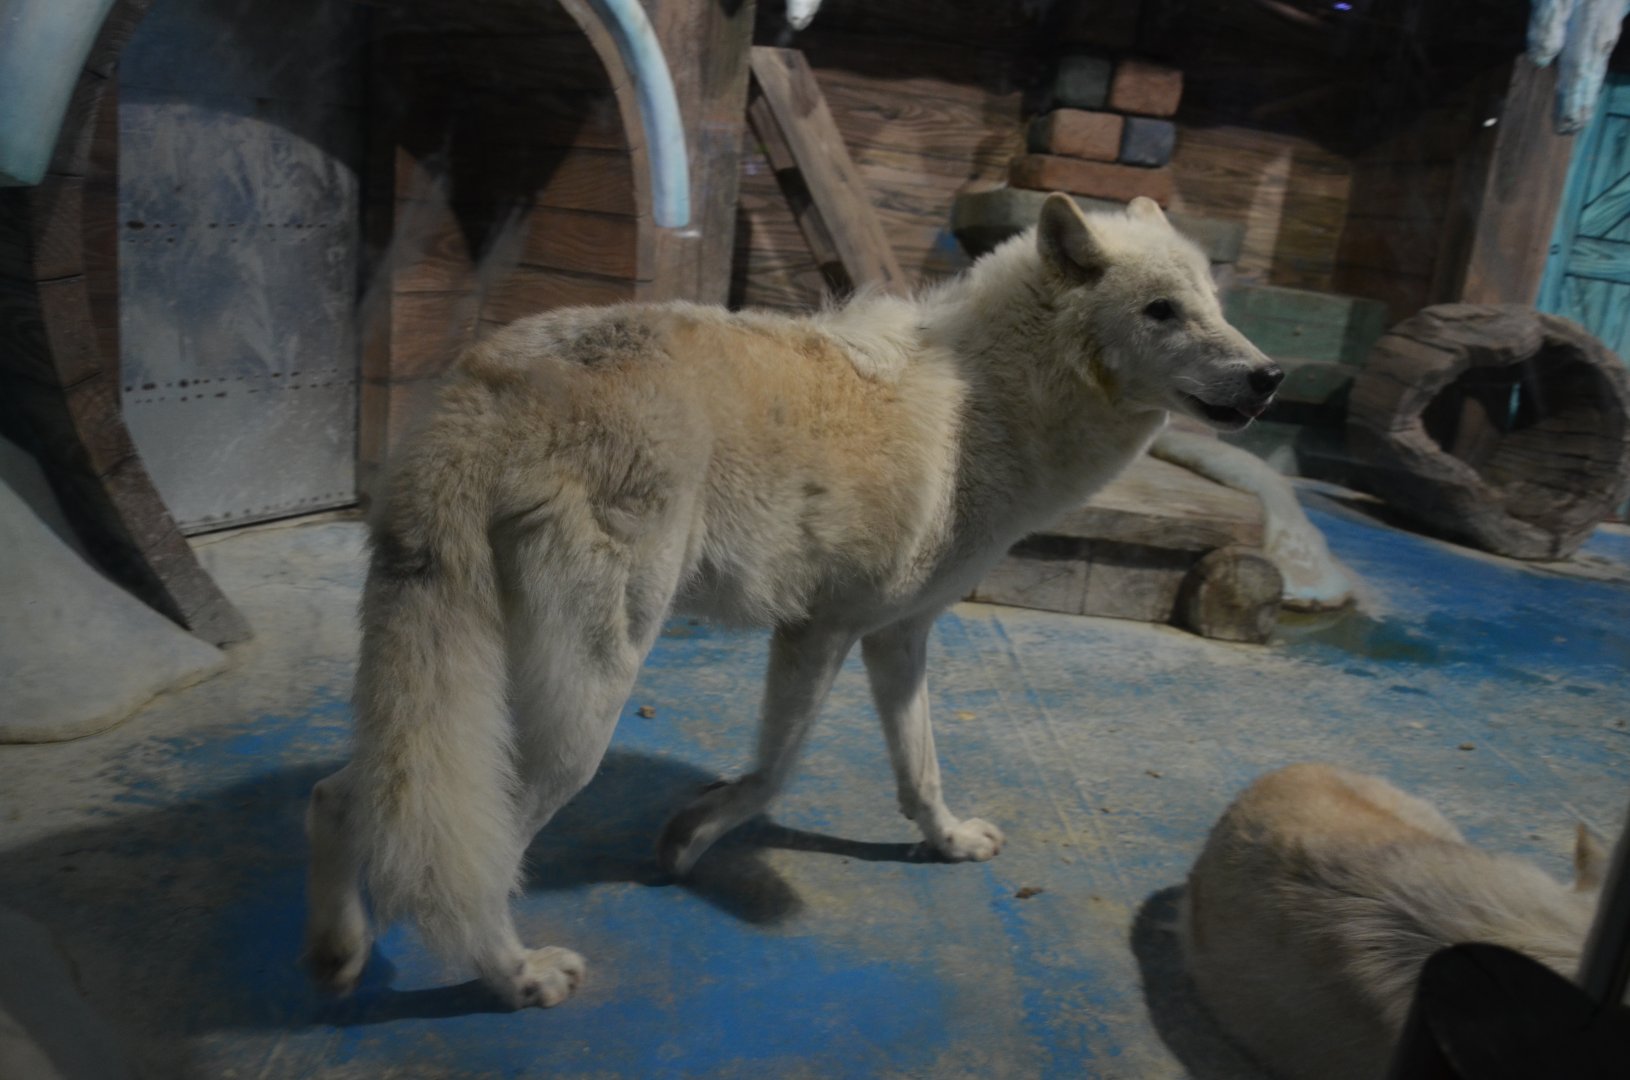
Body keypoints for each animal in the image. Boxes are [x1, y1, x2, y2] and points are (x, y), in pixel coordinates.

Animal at [303, 193, 1282, 1008]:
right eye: (1163, 311)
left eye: (1216, 305)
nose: (1269, 375)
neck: (986, 409)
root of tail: (490, 390)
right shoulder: (821, 630)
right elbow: (776, 772)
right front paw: (688, 839)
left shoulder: (898, 637)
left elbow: (919, 770)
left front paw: (949, 842)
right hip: (584, 710)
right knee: (470, 859)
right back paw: (516, 978)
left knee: (349, 794)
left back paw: (339, 955)